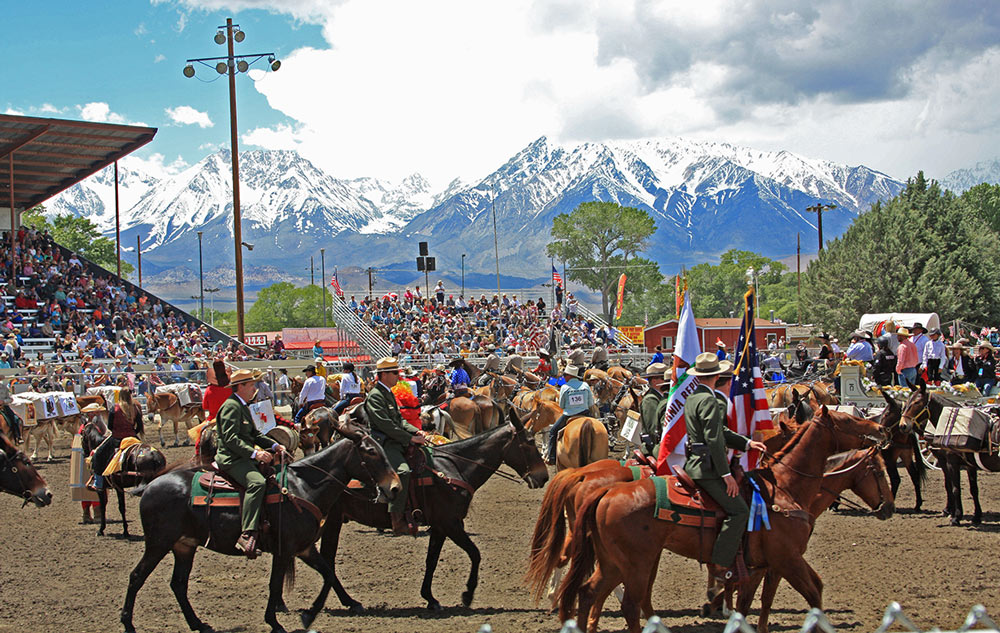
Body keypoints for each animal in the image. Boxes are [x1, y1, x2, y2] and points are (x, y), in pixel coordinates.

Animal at [117, 420, 398, 632]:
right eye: (370, 451)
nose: (394, 487)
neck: (301, 488)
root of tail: (151, 485)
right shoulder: (284, 550)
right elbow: (275, 585)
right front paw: (275, 622)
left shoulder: (304, 547)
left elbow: (329, 574)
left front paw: (321, 612)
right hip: (158, 543)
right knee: (136, 576)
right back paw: (128, 624)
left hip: (184, 546)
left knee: (178, 584)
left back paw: (199, 624)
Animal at [318, 404, 548, 612]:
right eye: (529, 443)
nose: (544, 477)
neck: (453, 468)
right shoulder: (451, 523)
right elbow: (475, 554)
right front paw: (467, 594)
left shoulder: (439, 526)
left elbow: (432, 560)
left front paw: (430, 597)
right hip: (331, 521)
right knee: (327, 560)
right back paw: (350, 601)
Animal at [556, 404, 884, 632]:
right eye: (848, 421)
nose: (879, 428)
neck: (784, 487)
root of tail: (601, 488)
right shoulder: (787, 558)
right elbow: (813, 593)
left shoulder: (763, 564)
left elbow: (751, 602)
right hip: (635, 562)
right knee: (627, 603)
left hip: (614, 561)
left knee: (588, 592)